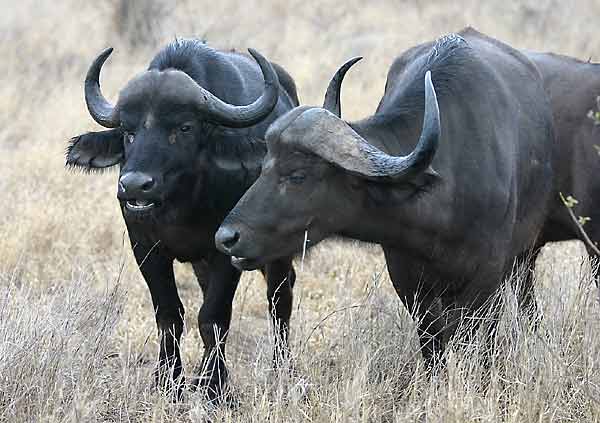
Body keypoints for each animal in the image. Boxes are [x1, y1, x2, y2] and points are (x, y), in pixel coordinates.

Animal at [65, 39, 298, 400]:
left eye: (184, 127)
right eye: (128, 132)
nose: (135, 185)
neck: (182, 203)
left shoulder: (226, 251)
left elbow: (213, 317)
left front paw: (215, 386)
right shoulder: (146, 249)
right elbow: (169, 314)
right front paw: (167, 381)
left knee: (280, 298)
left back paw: (281, 368)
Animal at [216, 28, 556, 362]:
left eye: (298, 175)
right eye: (264, 166)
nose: (226, 237)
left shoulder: (486, 279)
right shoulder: (407, 280)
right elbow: (433, 345)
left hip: (523, 258)